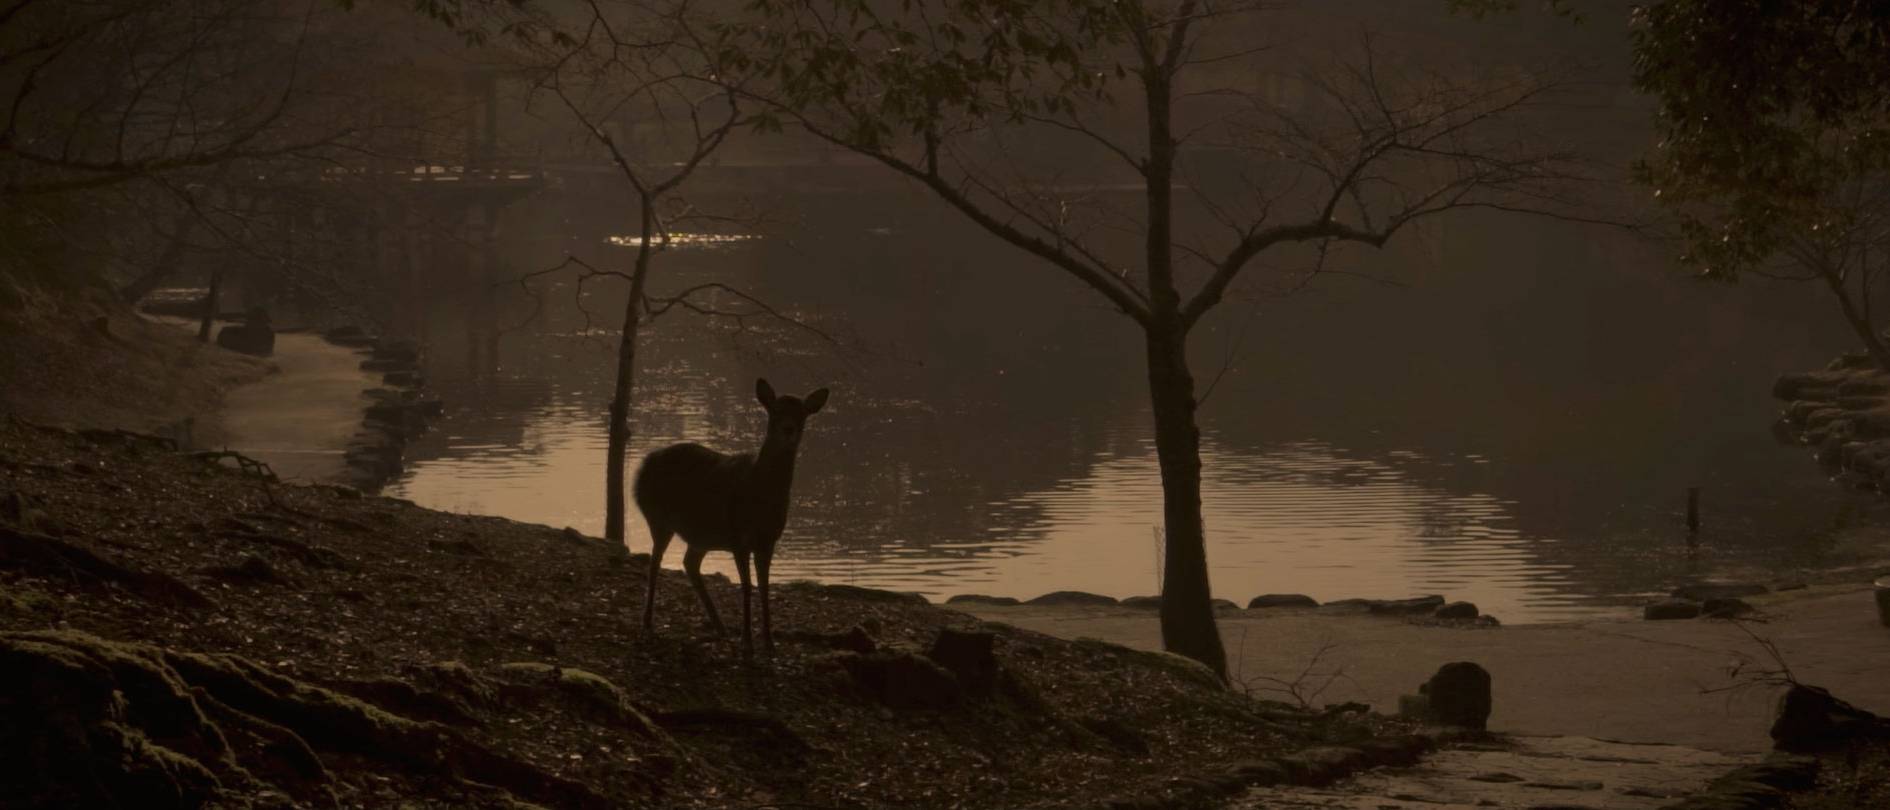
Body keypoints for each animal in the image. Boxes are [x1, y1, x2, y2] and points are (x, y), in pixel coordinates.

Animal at [634, 378, 829, 657]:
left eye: (802, 413)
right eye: (775, 411)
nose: (788, 429)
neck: (760, 498)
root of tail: (641, 468)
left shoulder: (769, 540)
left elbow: (764, 586)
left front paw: (769, 643)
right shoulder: (738, 536)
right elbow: (746, 586)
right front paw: (747, 642)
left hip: (701, 533)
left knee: (689, 562)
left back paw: (721, 627)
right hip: (658, 517)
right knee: (655, 562)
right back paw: (648, 623)